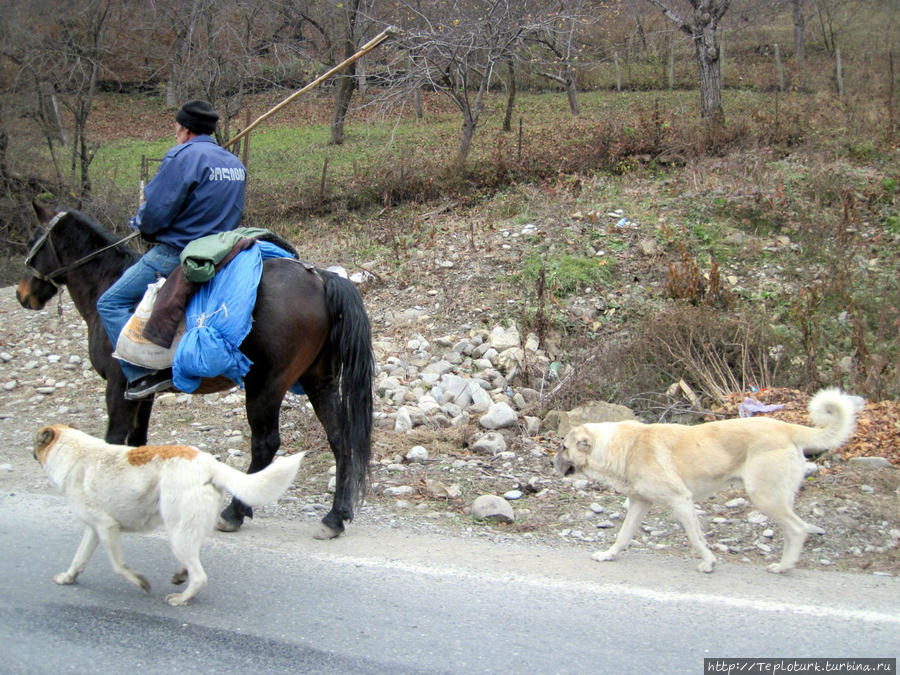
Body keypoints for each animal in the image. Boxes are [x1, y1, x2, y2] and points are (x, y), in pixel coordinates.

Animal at [17, 203, 376, 540]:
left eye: (34, 239)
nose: (22, 295)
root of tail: (320, 278)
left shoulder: (118, 389)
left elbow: (114, 441)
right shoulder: (142, 394)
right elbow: (137, 443)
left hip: (266, 386)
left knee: (265, 445)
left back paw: (234, 512)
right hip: (319, 383)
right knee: (339, 438)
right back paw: (335, 517)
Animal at [33, 426, 306, 604]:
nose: (30, 450)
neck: (75, 453)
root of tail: (210, 463)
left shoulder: (107, 527)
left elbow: (119, 566)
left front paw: (140, 582)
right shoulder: (95, 529)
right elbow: (79, 559)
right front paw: (67, 578)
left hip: (177, 534)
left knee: (200, 576)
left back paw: (181, 598)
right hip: (186, 529)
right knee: (194, 560)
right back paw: (180, 575)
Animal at [552, 390, 860, 576]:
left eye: (563, 447)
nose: (552, 462)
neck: (623, 447)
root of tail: (786, 426)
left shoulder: (681, 501)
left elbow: (695, 538)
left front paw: (708, 562)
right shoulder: (640, 504)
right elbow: (623, 535)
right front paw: (608, 555)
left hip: (765, 497)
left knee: (797, 529)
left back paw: (783, 567)